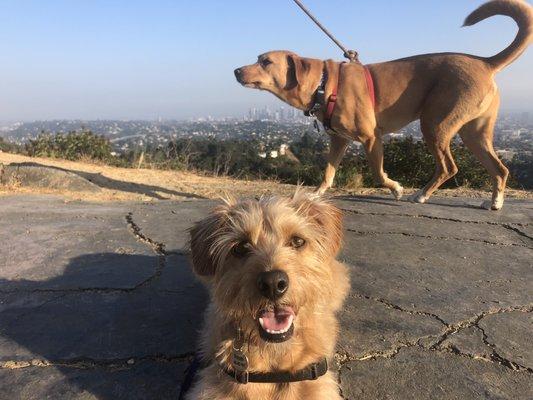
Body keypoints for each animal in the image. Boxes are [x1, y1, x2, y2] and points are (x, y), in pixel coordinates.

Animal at [234, 0, 532, 211]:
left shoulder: (370, 138)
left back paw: (420, 195)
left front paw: (396, 188)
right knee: (500, 168)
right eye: (258, 58)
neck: (323, 83)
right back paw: (494, 202)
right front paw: (316, 194)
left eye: (265, 62)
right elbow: (328, 171)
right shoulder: (338, 140)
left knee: (449, 167)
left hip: (435, 124)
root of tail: (485, 62)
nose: (236, 71)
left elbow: (378, 173)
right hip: (474, 133)